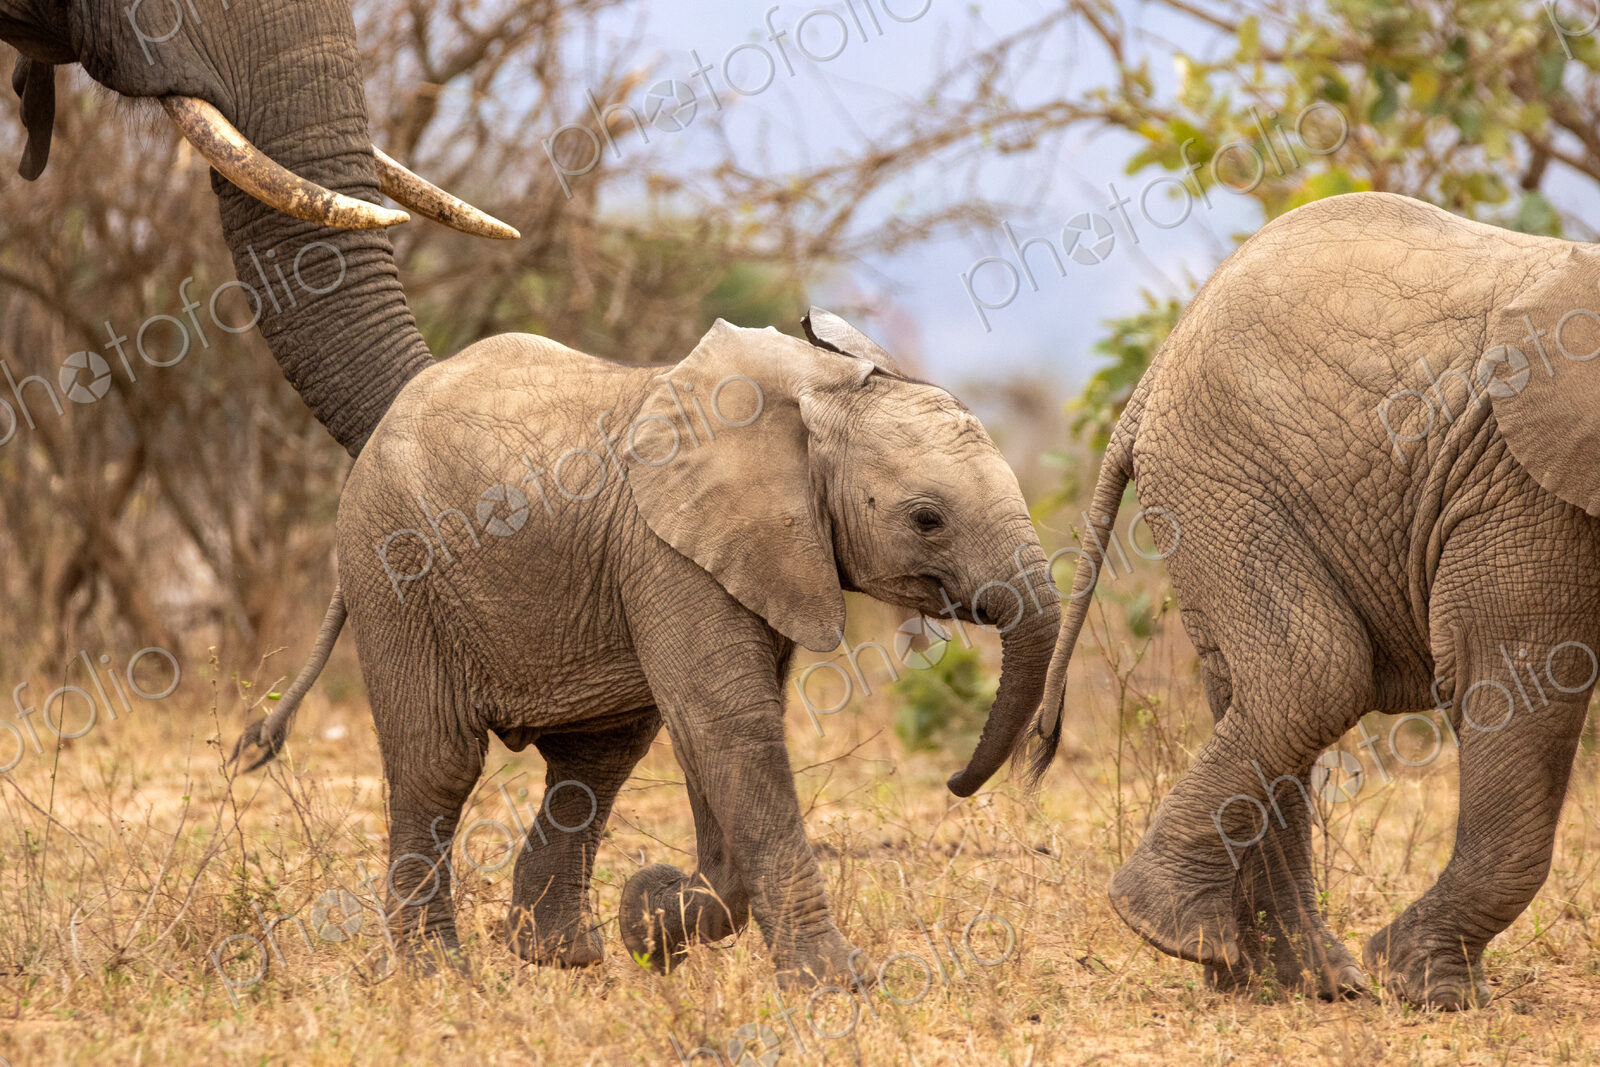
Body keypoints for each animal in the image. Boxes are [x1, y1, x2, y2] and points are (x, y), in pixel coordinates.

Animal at [234, 309, 1061, 985]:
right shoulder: (671, 551)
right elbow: (728, 725)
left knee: (595, 759)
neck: (813, 388)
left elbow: (716, 734)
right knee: (439, 763)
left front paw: (650, 920)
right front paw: (837, 981)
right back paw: (438, 973)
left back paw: (557, 954)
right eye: (927, 519)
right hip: (393, 566)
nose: (956, 780)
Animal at [1031, 191, 1600, 1009]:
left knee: (1258, 690)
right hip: (1228, 475)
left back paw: (1283, 977)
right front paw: (1437, 991)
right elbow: (1527, 679)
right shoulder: (1522, 483)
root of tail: (1153, 375)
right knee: (1315, 677)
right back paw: (1178, 930)